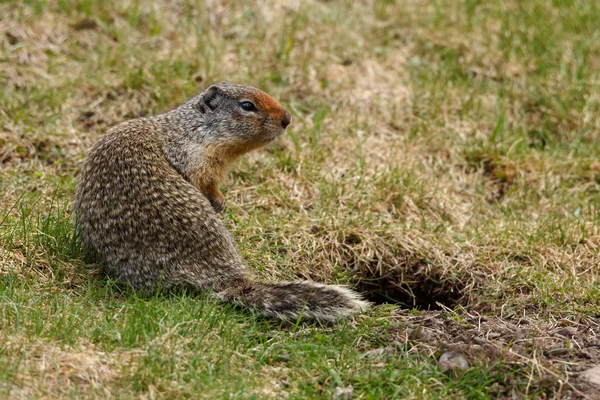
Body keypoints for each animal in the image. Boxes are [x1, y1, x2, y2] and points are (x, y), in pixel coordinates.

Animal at [72, 82, 368, 322]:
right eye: (247, 105)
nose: (287, 119)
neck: (193, 130)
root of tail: (230, 277)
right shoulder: (193, 157)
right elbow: (203, 182)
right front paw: (218, 200)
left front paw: (221, 201)